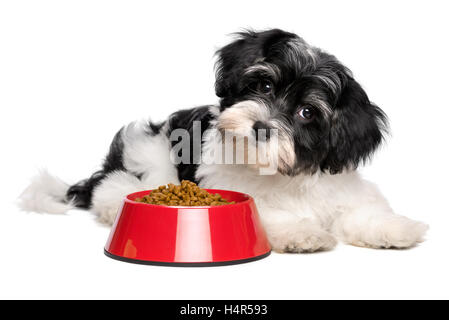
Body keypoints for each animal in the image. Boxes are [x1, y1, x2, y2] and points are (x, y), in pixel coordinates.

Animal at [20, 28, 428, 252]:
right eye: (264, 86)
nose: (261, 126)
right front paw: (302, 233)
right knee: (116, 187)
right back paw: (111, 205)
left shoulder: (341, 186)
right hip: (150, 157)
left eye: (307, 113)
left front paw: (396, 228)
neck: (283, 176)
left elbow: (362, 211)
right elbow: (269, 213)